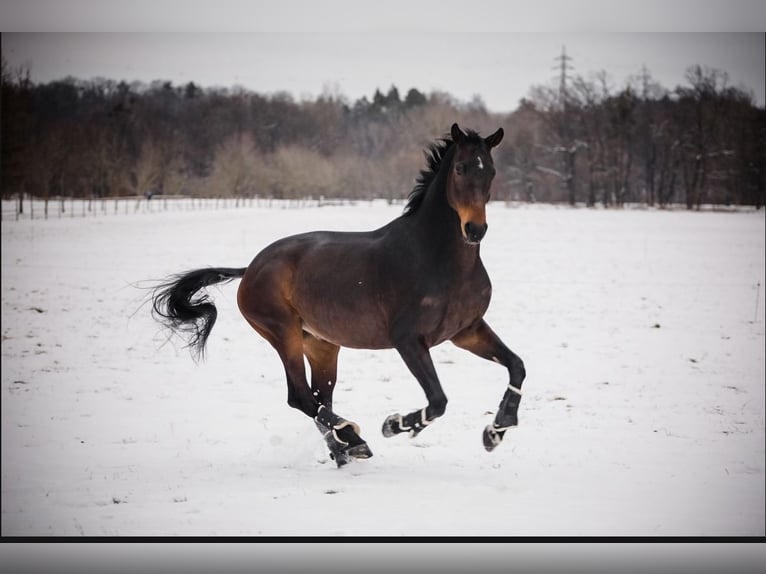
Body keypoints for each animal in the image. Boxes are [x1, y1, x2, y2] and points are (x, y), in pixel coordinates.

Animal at [154, 122, 532, 468]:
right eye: (460, 168)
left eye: (491, 170)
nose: (475, 230)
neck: (439, 259)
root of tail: (251, 268)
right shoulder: (409, 339)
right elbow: (438, 400)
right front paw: (395, 425)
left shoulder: (466, 331)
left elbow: (517, 366)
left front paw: (497, 430)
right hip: (283, 333)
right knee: (301, 397)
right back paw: (353, 437)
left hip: (321, 345)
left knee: (319, 397)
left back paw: (345, 449)